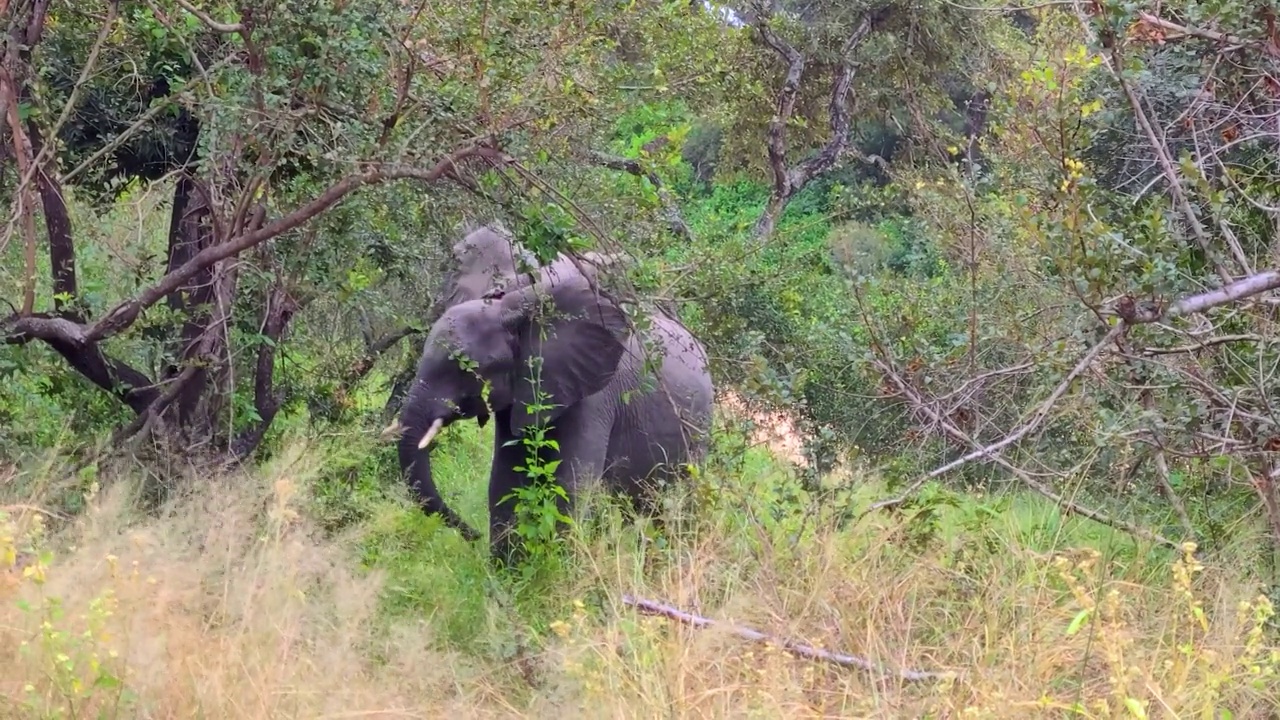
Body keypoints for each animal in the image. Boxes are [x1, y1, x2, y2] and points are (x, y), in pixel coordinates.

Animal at [394, 260, 716, 558]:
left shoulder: (593, 396)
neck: (514, 310)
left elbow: (568, 484)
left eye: (464, 368)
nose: (472, 535)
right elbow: (505, 481)